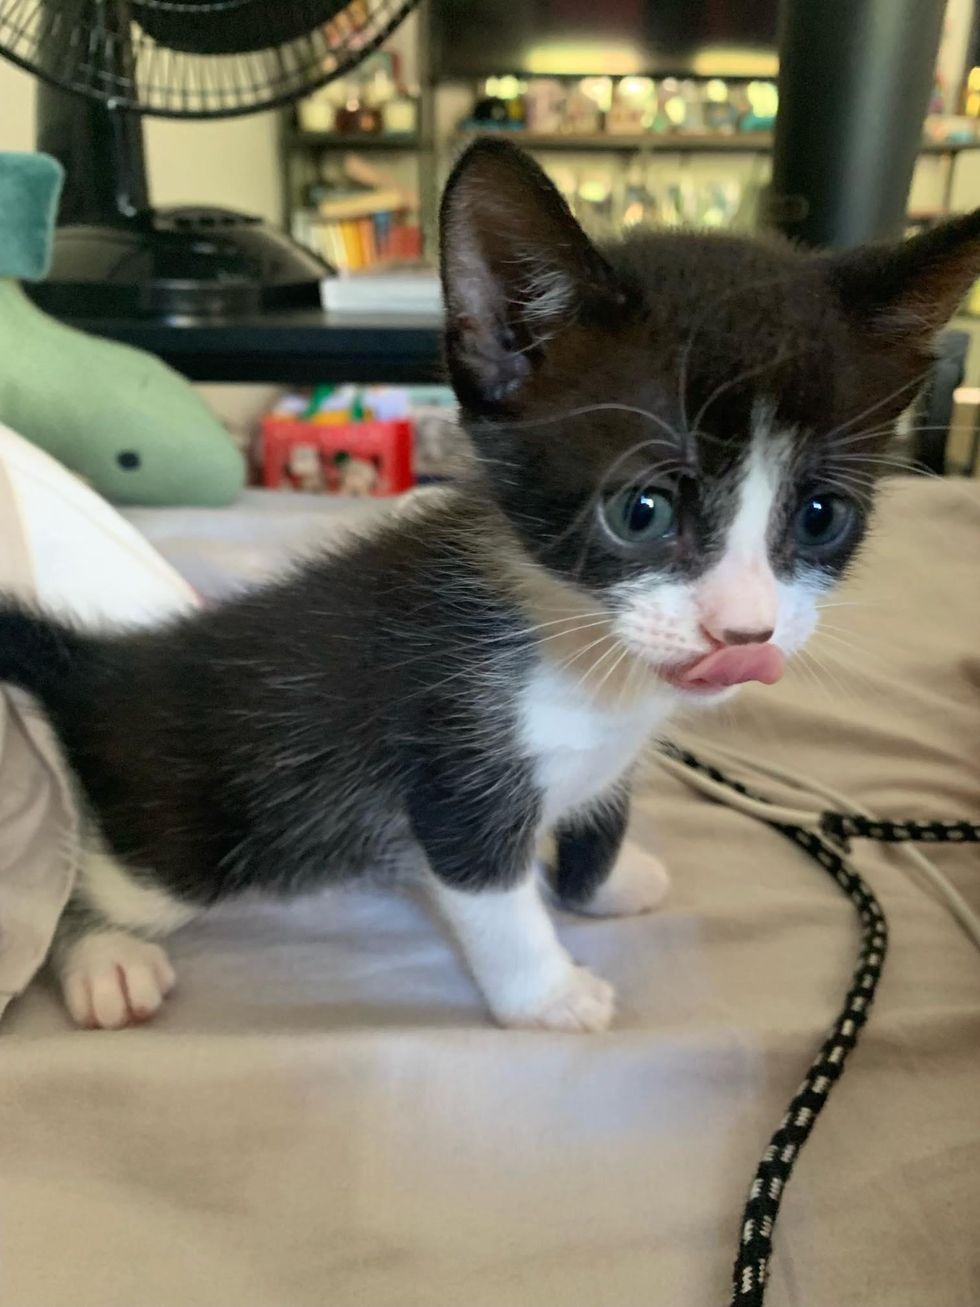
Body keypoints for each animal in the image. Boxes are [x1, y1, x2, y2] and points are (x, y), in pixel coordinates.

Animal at [1, 140, 980, 1029]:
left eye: (819, 515)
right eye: (643, 509)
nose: (743, 633)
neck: (577, 647)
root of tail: (113, 662)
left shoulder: (612, 749)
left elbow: (600, 815)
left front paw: (604, 882)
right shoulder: (449, 753)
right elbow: (490, 891)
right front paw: (549, 994)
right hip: (191, 835)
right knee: (88, 881)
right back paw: (103, 958)